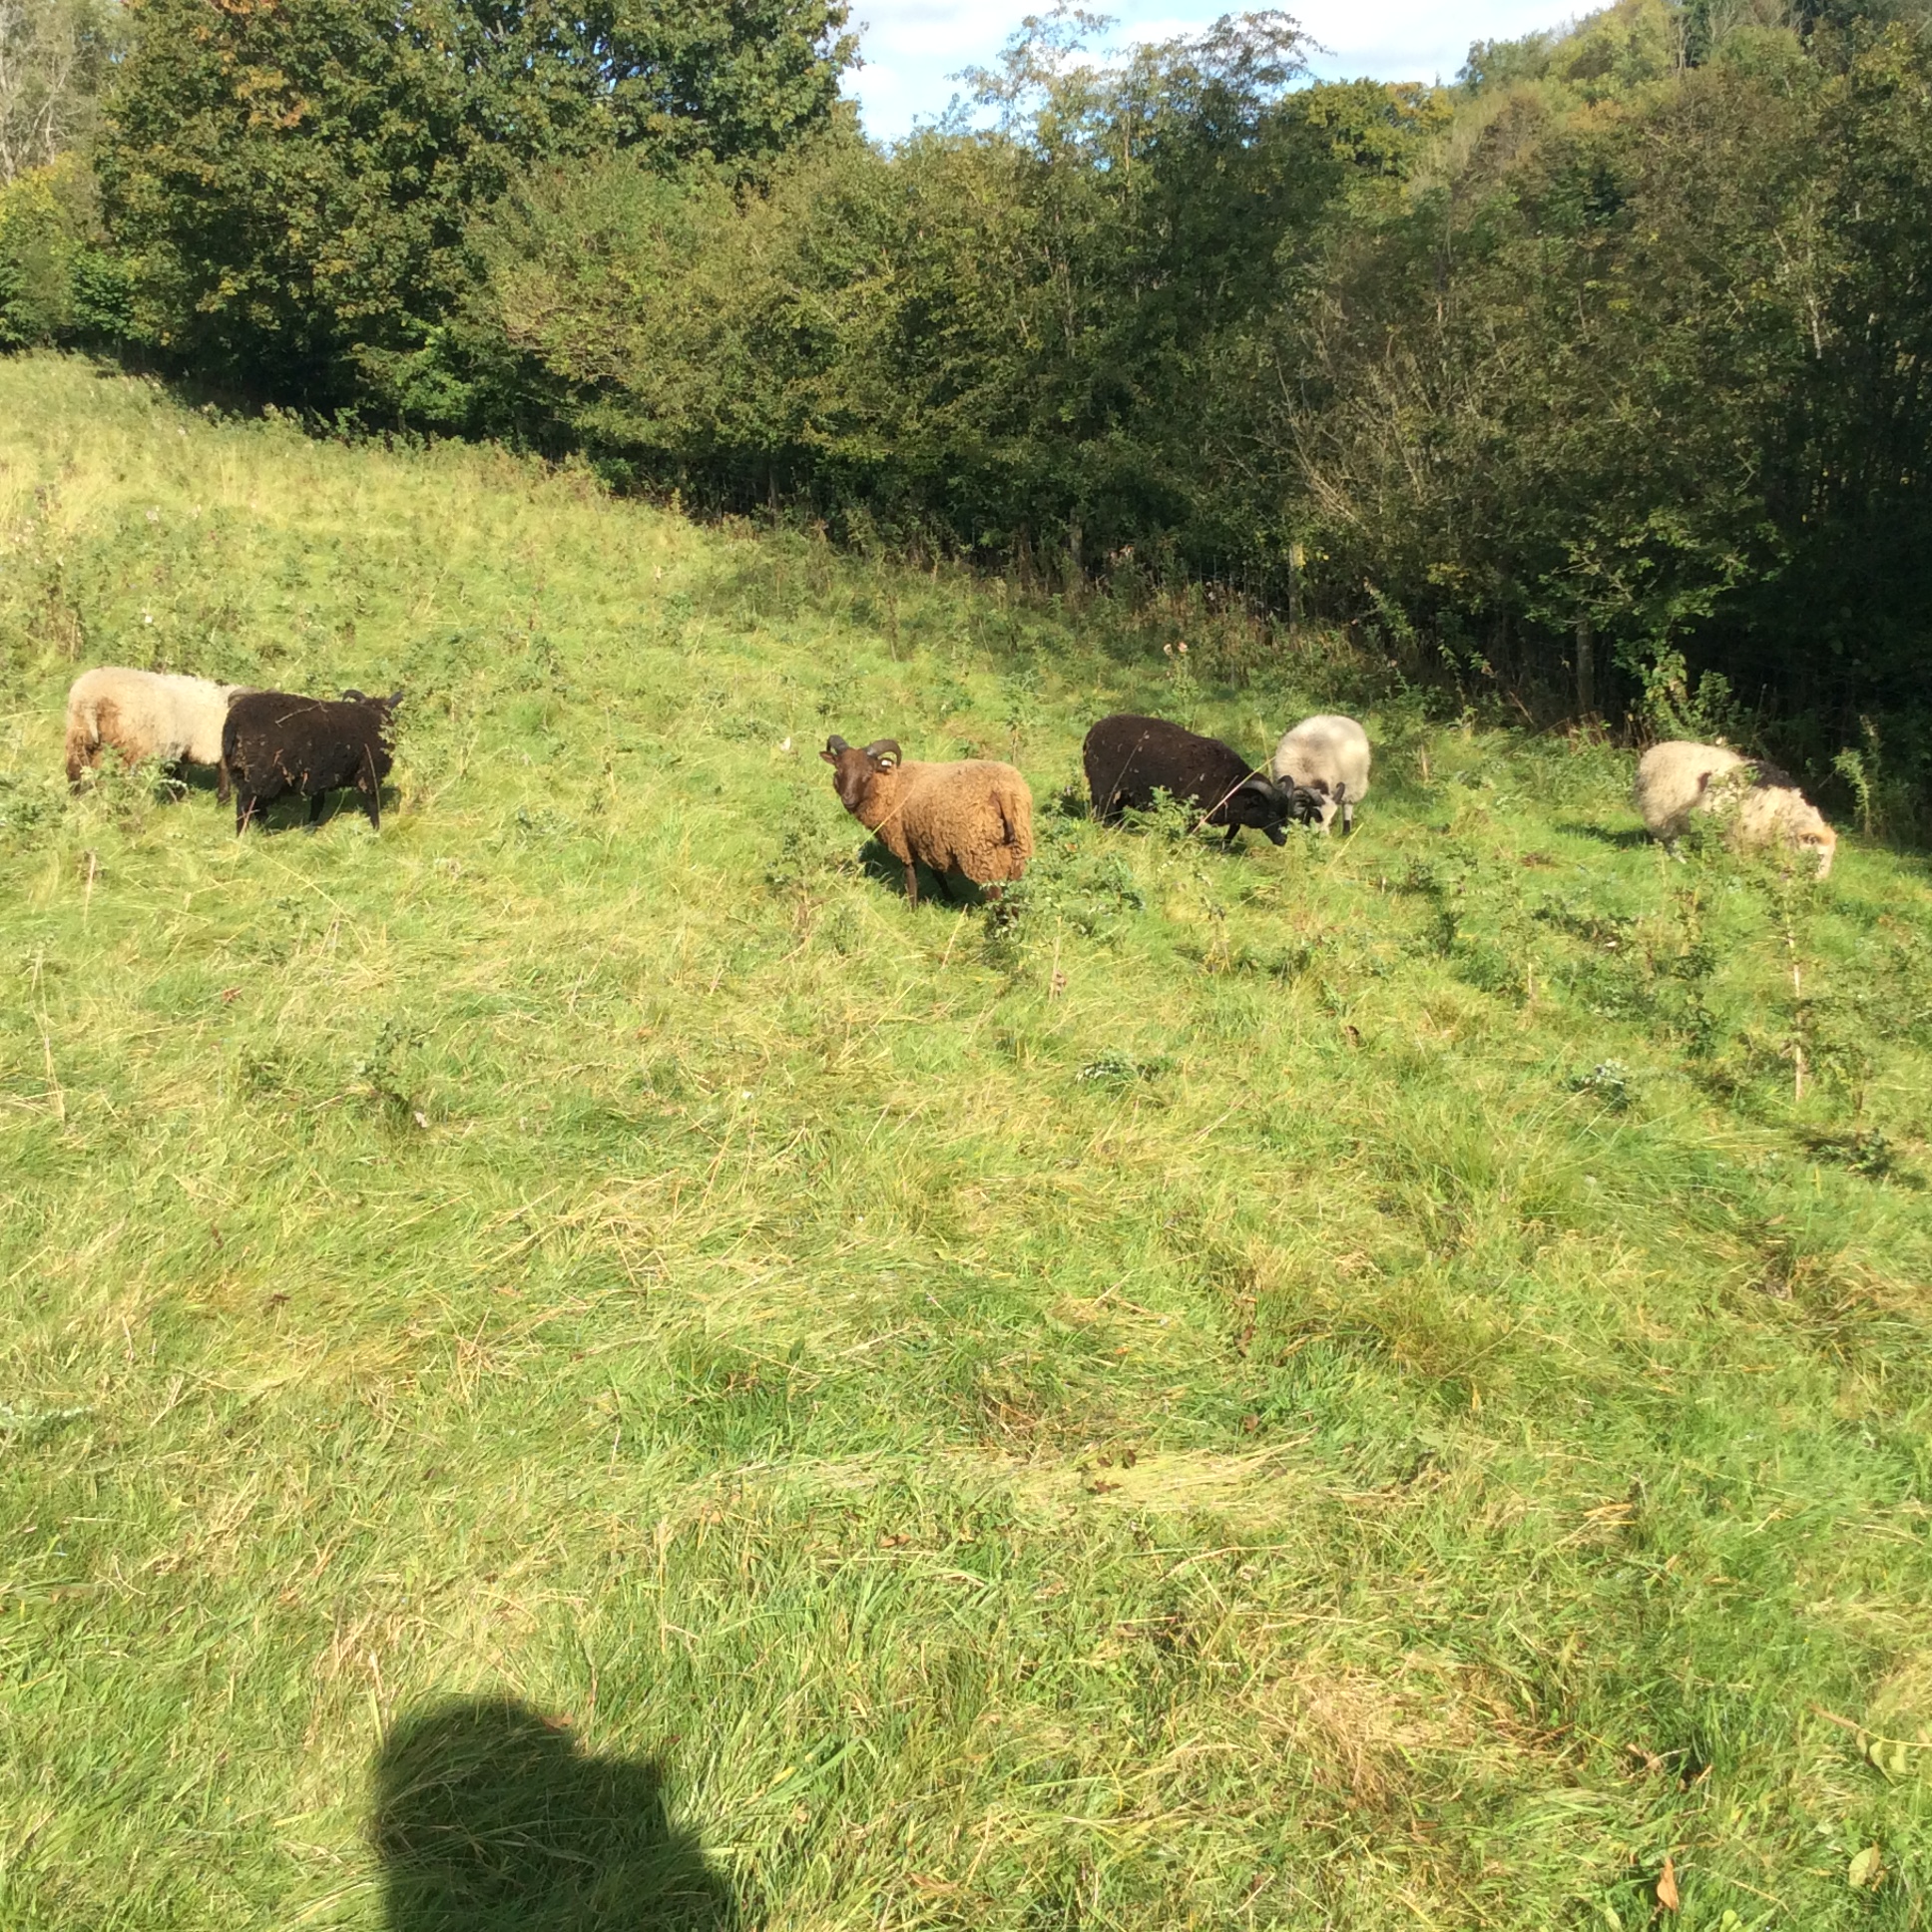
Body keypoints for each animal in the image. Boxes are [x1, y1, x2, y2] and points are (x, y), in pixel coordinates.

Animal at [64, 667, 253, 800]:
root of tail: (92, 699)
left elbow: (178, 774)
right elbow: (223, 770)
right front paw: (223, 799)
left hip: (79, 734)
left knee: (75, 769)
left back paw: (76, 797)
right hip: (131, 746)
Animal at [222, 689, 401, 833]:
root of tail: (235, 721)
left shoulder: (319, 776)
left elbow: (317, 804)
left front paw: (309, 830)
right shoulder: (370, 772)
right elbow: (373, 804)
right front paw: (377, 830)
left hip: (239, 771)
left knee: (255, 805)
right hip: (260, 774)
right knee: (244, 804)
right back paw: (242, 835)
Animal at [821, 736, 1033, 906]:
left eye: (867, 773)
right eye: (839, 770)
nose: (848, 799)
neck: (891, 785)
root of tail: (1002, 792)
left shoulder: (903, 840)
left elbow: (911, 877)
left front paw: (912, 908)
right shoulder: (929, 841)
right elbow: (937, 874)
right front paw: (950, 898)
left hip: (979, 852)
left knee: (995, 894)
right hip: (1016, 848)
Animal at [1082, 714, 1299, 847]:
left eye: (1285, 813)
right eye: (1271, 814)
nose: (1283, 840)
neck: (1230, 780)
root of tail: (1092, 733)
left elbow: (1234, 828)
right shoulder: (1194, 812)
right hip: (1104, 786)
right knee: (1101, 810)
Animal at [1634, 740, 1836, 877]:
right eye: (1819, 856)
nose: (1820, 882)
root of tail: (1648, 757)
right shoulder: (1739, 835)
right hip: (1661, 811)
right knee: (1669, 839)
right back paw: (1681, 860)